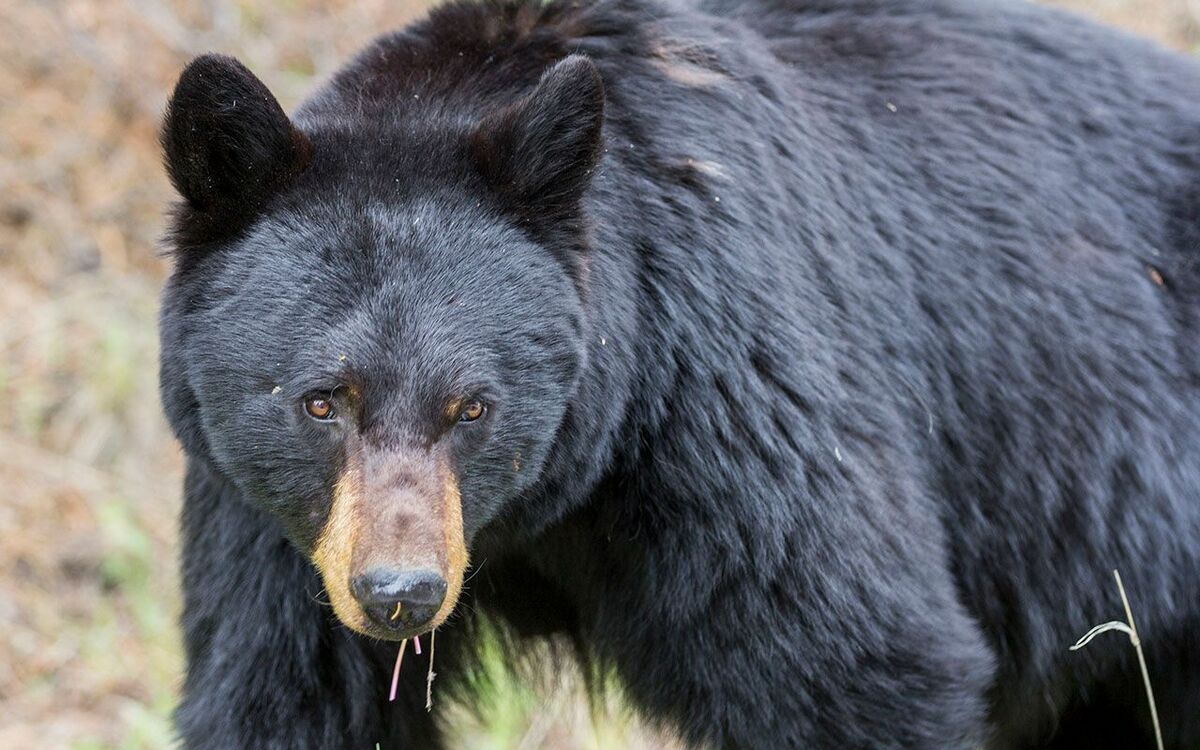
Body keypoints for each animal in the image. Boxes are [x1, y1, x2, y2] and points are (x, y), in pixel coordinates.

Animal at [159, 0, 1200, 744]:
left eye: (474, 407)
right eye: (321, 402)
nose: (398, 593)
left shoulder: (730, 403)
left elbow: (852, 660)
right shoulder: (270, 522)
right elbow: (285, 694)